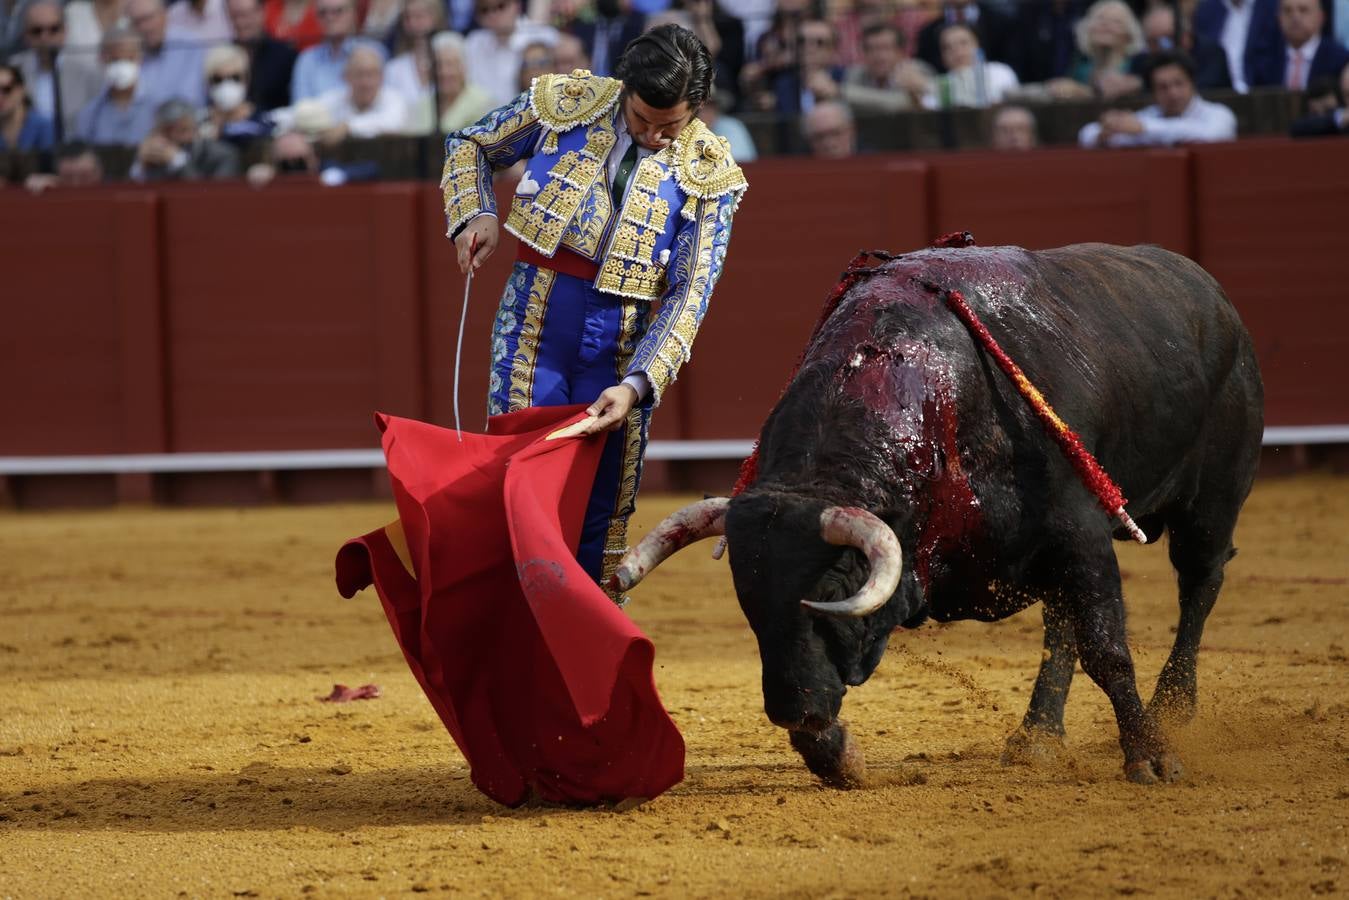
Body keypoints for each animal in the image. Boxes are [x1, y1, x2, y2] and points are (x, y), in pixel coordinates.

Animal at [612, 242, 1262, 782]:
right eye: (749, 601)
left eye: (832, 589)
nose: (790, 708)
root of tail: (1213, 293)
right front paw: (838, 755)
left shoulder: (1080, 532)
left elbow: (1108, 649)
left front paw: (1151, 757)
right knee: (1063, 624)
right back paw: (1037, 736)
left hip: (1211, 502)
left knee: (1199, 585)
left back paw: (1172, 709)